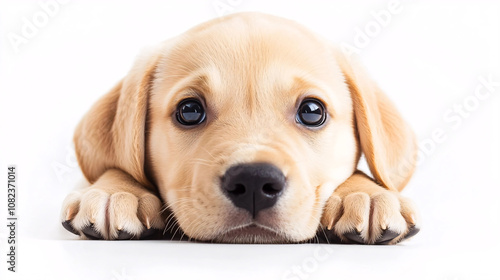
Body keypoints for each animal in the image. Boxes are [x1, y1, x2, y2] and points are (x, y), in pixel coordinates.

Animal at [60, 13, 420, 244]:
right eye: (189, 111)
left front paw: (366, 193)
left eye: (312, 111)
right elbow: (118, 166)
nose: (254, 182)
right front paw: (116, 191)